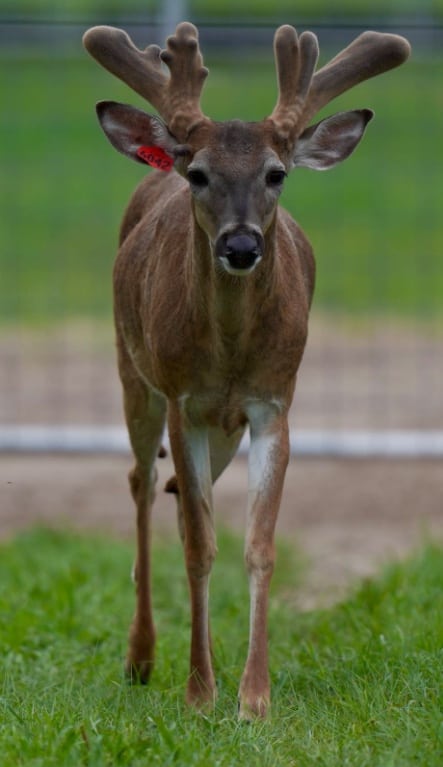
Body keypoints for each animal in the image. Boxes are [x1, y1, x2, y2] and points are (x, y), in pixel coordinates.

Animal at [82, 20, 410, 718]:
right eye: (200, 174)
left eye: (277, 173)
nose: (240, 245)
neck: (231, 355)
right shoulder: (183, 398)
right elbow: (197, 545)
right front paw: (199, 693)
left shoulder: (274, 401)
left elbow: (258, 546)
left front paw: (254, 698)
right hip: (134, 373)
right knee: (142, 485)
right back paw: (141, 656)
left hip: (221, 426)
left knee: (176, 494)